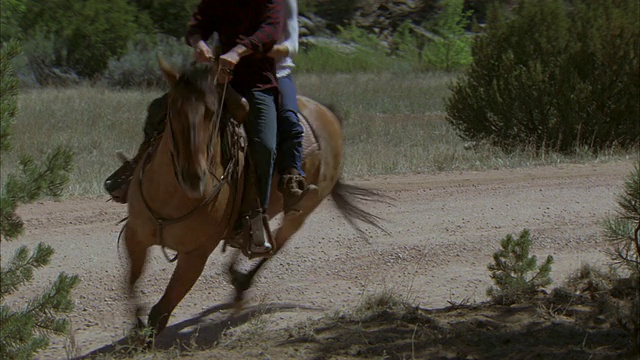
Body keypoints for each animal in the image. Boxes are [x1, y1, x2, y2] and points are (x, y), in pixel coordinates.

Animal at [124, 59, 384, 338]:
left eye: (213, 112)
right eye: (171, 109)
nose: (193, 177)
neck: (172, 198)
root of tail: (328, 113)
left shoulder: (195, 256)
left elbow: (162, 309)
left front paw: (146, 333)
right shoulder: (134, 236)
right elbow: (131, 285)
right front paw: (136, 325)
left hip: (302, 209)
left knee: (277, 243)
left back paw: (242, 283)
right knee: (254, 232)